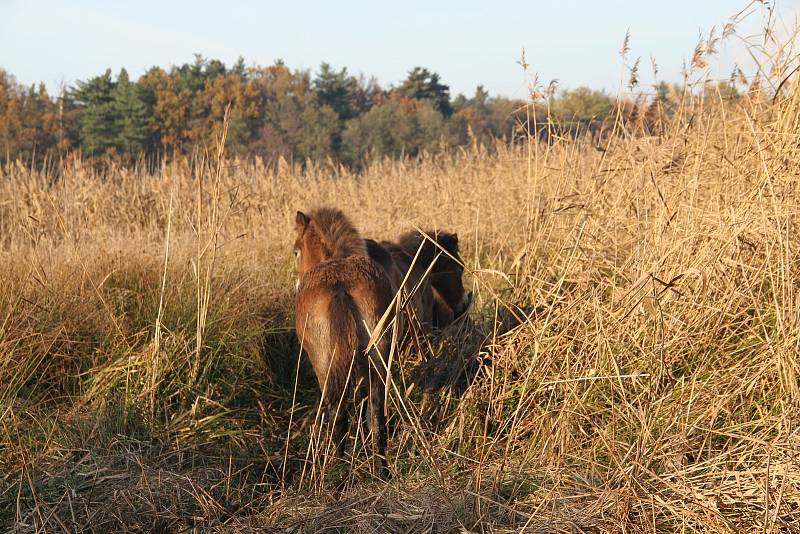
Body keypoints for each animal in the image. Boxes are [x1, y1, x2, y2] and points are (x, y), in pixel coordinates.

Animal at [294, 207, 394, 480]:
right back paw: (382, 471)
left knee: (338, 418)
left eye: (295, 250)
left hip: (326, 369)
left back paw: (338, 473)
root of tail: (340, 286)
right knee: (375, 414)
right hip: (377, 360)